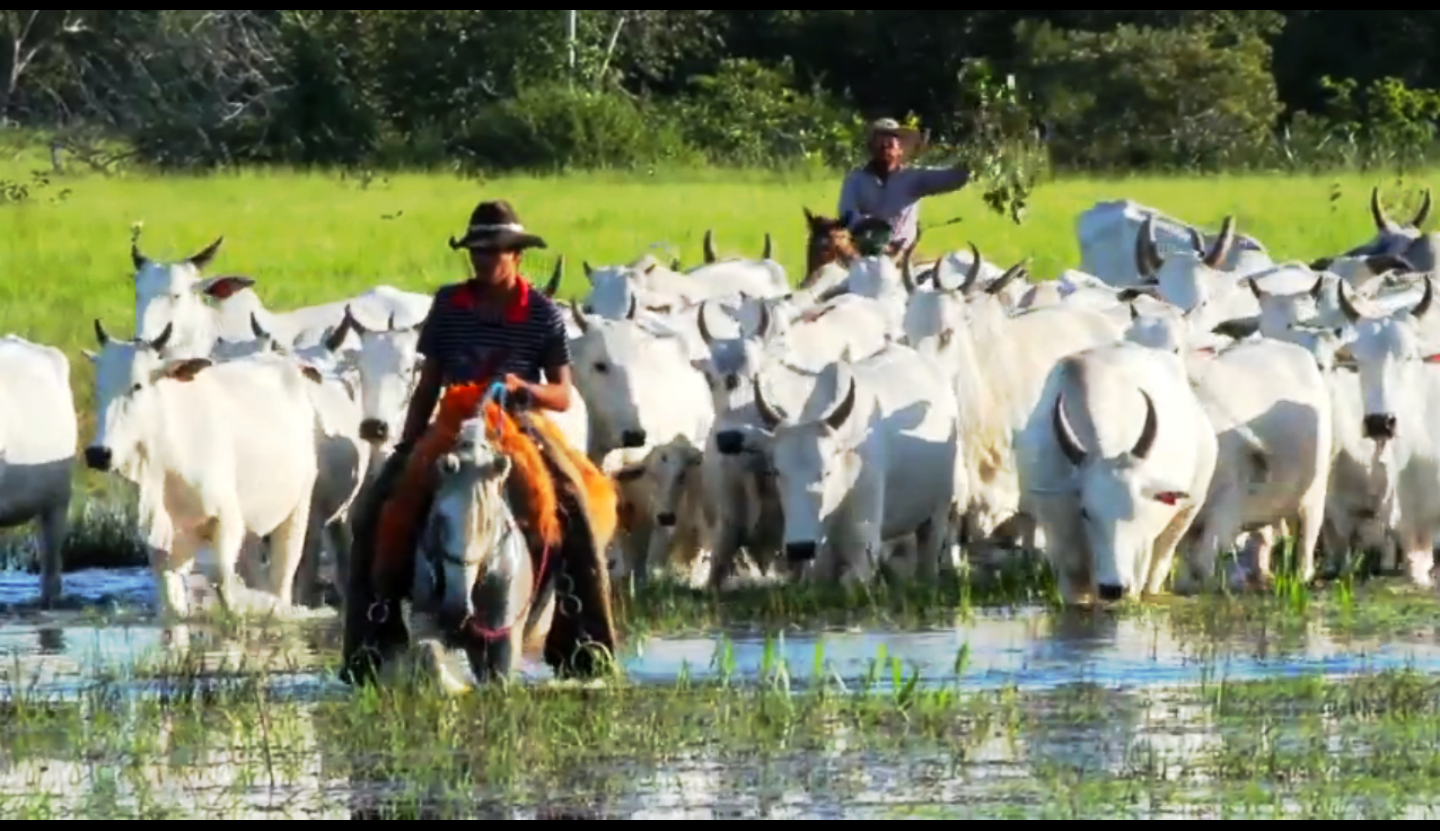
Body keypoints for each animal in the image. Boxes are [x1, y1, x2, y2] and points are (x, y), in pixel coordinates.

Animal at [82, 321, 325, 619]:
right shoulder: (162, 542)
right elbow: (173, 604)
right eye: (98, 388)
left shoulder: (226, 519)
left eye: (137, 385)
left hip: (297, 509)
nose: (98, 453)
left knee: (282, 579)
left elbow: (222, 581)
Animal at [748, 339, 961, 578]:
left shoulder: (863, 548)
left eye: (827, 470)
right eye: (776, 471)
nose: (800, 548)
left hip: (937, 516)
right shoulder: (820, 561)